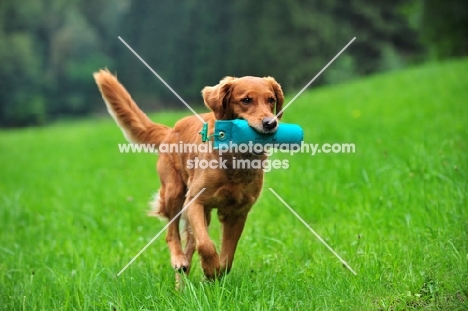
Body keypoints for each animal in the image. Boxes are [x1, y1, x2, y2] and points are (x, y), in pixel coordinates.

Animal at [93, 70, 284, 280]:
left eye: (271, 100)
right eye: (246, 100)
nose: (270, 123)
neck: (234, 157)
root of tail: (171, 130)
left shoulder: (238, 212)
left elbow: (227, 257)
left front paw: (215, 274)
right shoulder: (194, 201)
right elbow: (206, 245)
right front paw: (210, 269)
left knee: (189, 248)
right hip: (174, 192)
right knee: (172, 234)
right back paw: (179, 260)